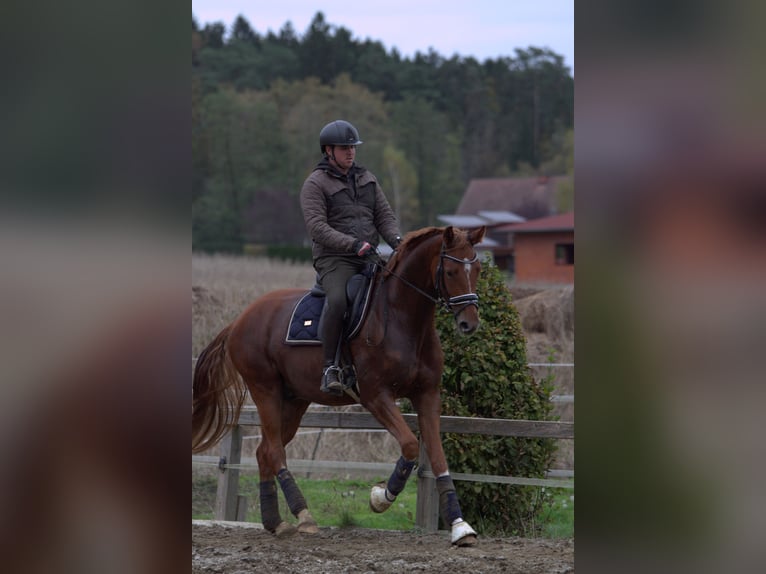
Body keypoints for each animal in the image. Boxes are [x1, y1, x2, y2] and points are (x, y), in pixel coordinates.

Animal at [195, 225, 488, 544]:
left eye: (477, 269)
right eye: (450, 271)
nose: (469, 324)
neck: (402, 318)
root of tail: (239, 320)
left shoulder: (428, 395)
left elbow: (436, 456)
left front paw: (460, 526)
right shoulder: (376, 396)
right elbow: (411, 445)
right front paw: (380, 497)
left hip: (294, 400)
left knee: (264, 452)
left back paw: (275, 522)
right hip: (266, 391)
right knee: (274, 452)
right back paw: (303, 516)